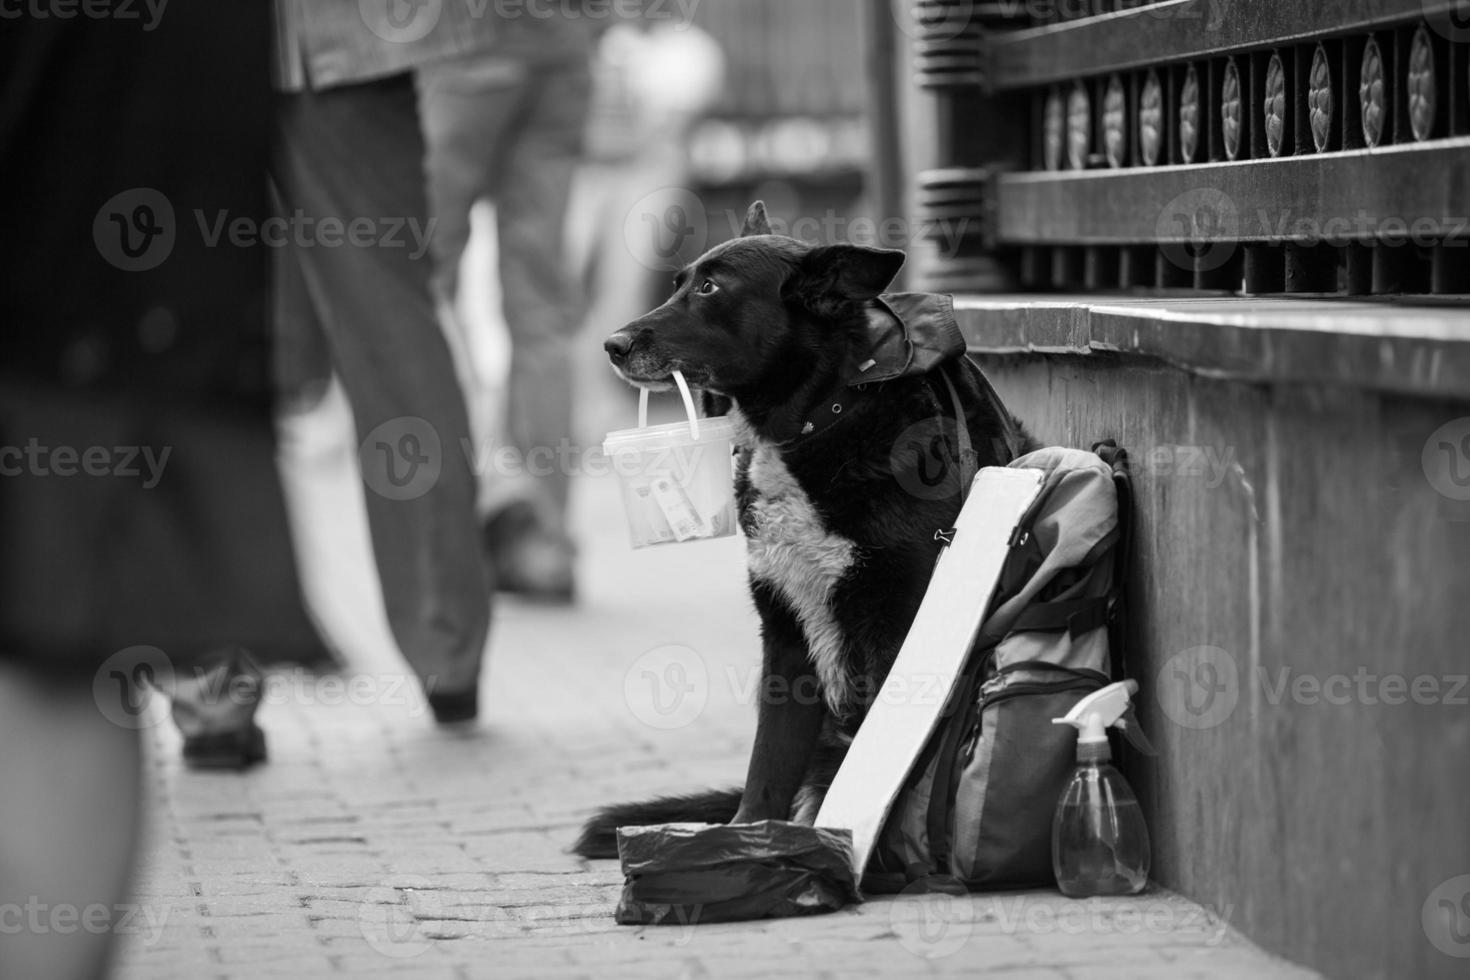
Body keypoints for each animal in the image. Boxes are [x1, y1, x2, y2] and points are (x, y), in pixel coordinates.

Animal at [570, 205, 1023, 858]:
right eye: (678, 283)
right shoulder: (785, 636)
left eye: (711, 288)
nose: (613, 344)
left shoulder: (896, 625)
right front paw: (748, 840)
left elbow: (881, 762)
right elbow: (768, 763)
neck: (820, 418)